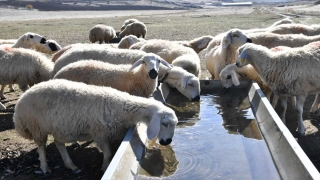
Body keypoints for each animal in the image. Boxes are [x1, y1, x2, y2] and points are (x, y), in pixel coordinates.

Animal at [13, 79, 179, 174]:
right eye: (164, 124)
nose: (167, 142)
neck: (122, 107)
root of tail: (19, 103)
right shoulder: (100, 134)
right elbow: (108, 153)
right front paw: (105, 167)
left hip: (59, 128)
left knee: (59, 144)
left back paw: (71, 165)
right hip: (37, 126)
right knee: (42, 146)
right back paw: (44, 167)